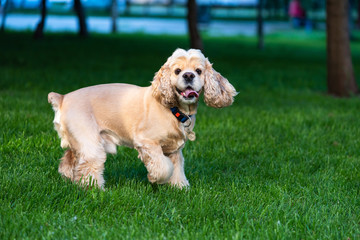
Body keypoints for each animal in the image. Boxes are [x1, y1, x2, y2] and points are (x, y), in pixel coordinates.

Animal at [47, 47, 236, 188]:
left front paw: (180, 187)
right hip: (89, 141)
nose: (188, 75)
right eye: (177, 71)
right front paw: (155, 178)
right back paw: (95, 189)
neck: (173, 108)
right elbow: (163, 167)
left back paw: (69, 180)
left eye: (198, 71)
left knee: (68, 161)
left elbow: (177, 169)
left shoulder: (174, 150)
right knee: (89, 166)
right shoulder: (147, 142)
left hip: (77, 141)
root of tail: (62, 98)